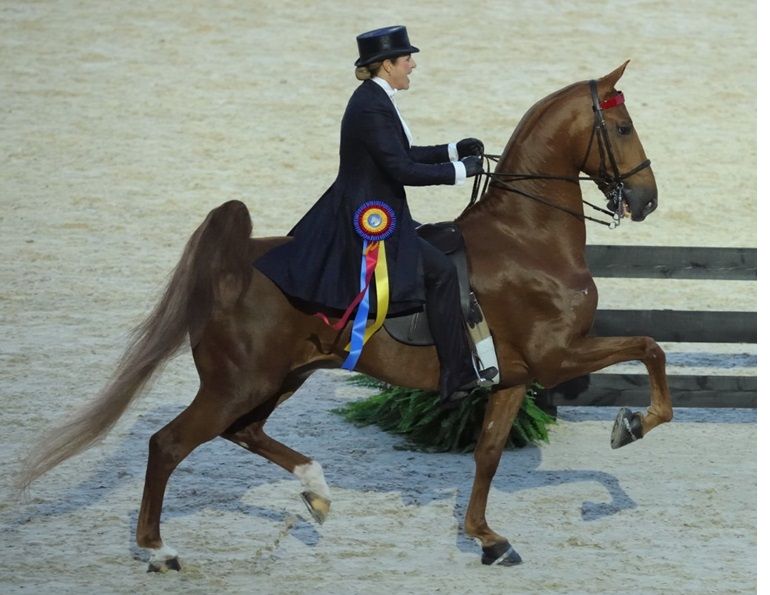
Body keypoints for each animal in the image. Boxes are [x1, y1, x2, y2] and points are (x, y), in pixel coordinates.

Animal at [17, 61, 671, 570]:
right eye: (622, 127)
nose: (646, 202)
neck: (528, 237)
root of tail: (231, 268)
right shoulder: (555, 357)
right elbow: (650, 347)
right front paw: (632, 424)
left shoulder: (513, 377)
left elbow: (487, 455)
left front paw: (487, 540)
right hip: (240, 382)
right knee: (169, 444)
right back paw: (158, 551)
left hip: (279, 378)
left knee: (242, 432)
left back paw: (316, 490)